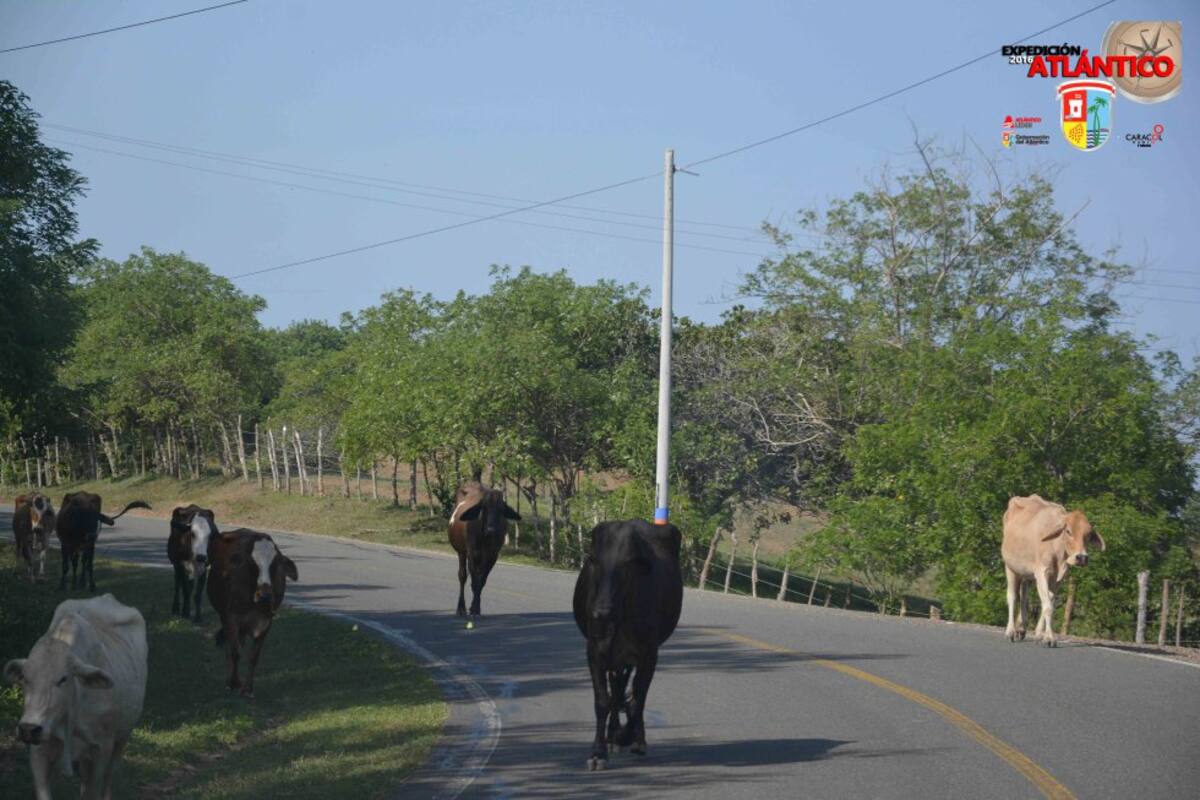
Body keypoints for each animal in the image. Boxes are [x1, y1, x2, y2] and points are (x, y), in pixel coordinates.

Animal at [4, 594, 148, 800]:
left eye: (63, 679)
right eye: (25, 678)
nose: (29, 728)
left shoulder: (100, 749)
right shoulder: (39, 751)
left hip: (122, 738)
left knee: (108, 778)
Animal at [206, 529, 298, 698]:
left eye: (275, 563)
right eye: (251, 561)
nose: (264, 594)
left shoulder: (266, 622)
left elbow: (253, 656)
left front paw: (248, 689)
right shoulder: (231, 617)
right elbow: (235, 652)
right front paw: (232, 683)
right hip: (225, 617)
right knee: (230, 648)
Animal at [447, 482, 520, 622]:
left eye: (501, 509)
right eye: (484, 508)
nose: (491, 530)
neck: (485, 538)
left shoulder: (492, 557)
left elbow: (481, 582)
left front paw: (476, 608)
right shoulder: (472, 554)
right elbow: (475, 582)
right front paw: (473, 609)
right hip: (461, 553)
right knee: (462, 576)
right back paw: (461, 608)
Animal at [573, 519, 683, 771]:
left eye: (627, 564)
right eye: (594, 560)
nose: (600, 612)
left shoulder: (649, 655)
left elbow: (637, 700)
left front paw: (627, 736)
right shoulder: (595, 651)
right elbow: (603, 701)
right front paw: (599, 751)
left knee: (629, 694)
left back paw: (633, 738)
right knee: (616, 690)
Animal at [1001, 494, 1106, 647]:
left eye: (1088, 535)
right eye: (1068, 531)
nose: (1081, 557)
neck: (1057, 549)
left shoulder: (1058, 578)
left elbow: (1049, 601)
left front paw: (1041, 634)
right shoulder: (1042, 572)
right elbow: (1048, 606)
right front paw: (1050, 637)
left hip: (1026, 573)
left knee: (1024, 596)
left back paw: (1021, 627)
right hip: (1010, 567)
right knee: (1012, 596)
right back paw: (1010, 631)